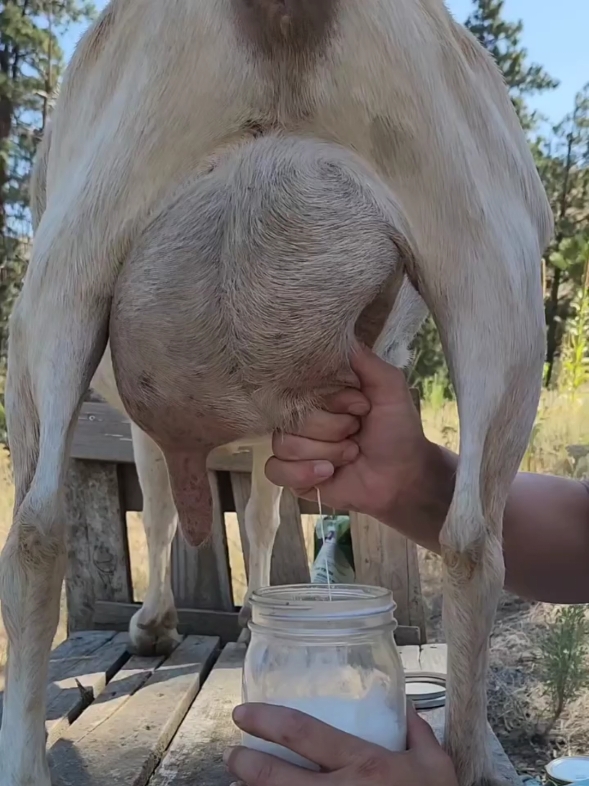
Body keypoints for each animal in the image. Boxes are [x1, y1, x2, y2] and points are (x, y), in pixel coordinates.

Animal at [0, 1, 552, 784]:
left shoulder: (161, 427)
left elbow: (176, 512)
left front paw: (160, 623)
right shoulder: (278, 426)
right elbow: (256, 515)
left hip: (64, 267)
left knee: (35, 532)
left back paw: (24, 761)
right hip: (492, 271)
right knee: (474, 542)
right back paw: (468, 761)